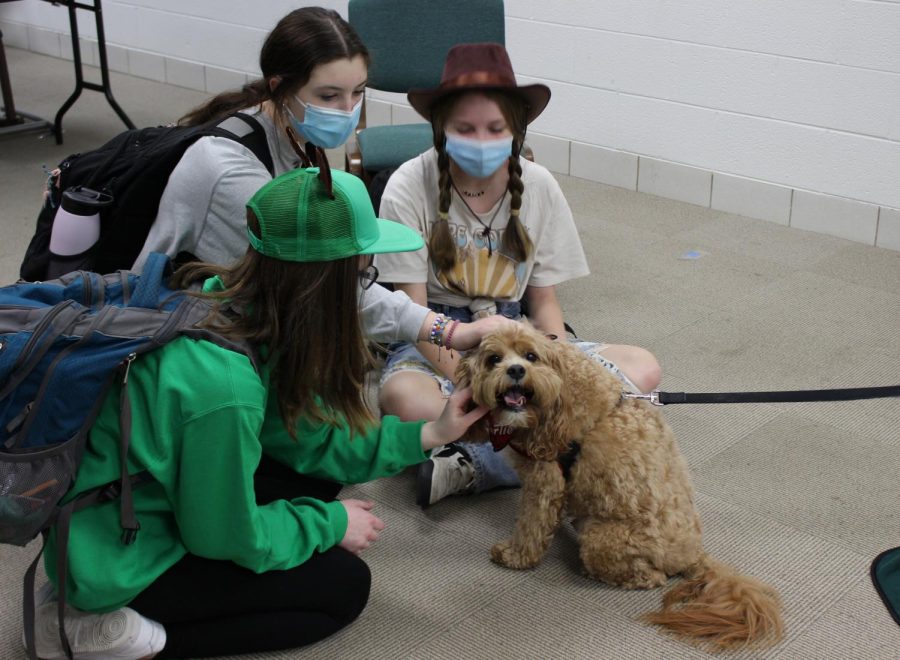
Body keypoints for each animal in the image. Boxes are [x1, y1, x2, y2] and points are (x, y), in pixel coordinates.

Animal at [458, 324, 780, 648]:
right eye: (494, 358)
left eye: (530, 356)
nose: (515, 370)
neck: (562, 386)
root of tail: (694, 555)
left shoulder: (544, 481)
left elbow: (530, 527)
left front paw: (514, 556)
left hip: (601, 539)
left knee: (650, 577)